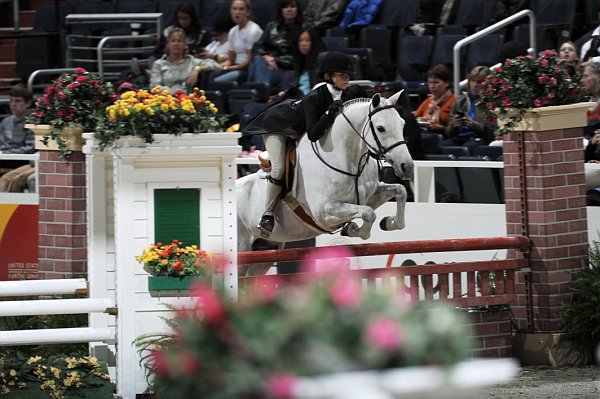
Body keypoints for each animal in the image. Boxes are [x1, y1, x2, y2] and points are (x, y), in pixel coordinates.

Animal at [234, 90, 412, 276]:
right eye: (381, 128)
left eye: (402, 124)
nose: (406, 166)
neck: (346, 158)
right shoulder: (324, 213)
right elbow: (368, 213)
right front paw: (353, 229)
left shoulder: (370, 195)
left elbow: (400, 191)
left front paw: (389, 222)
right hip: (242, 248)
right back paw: (266, 222)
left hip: (266, 250)